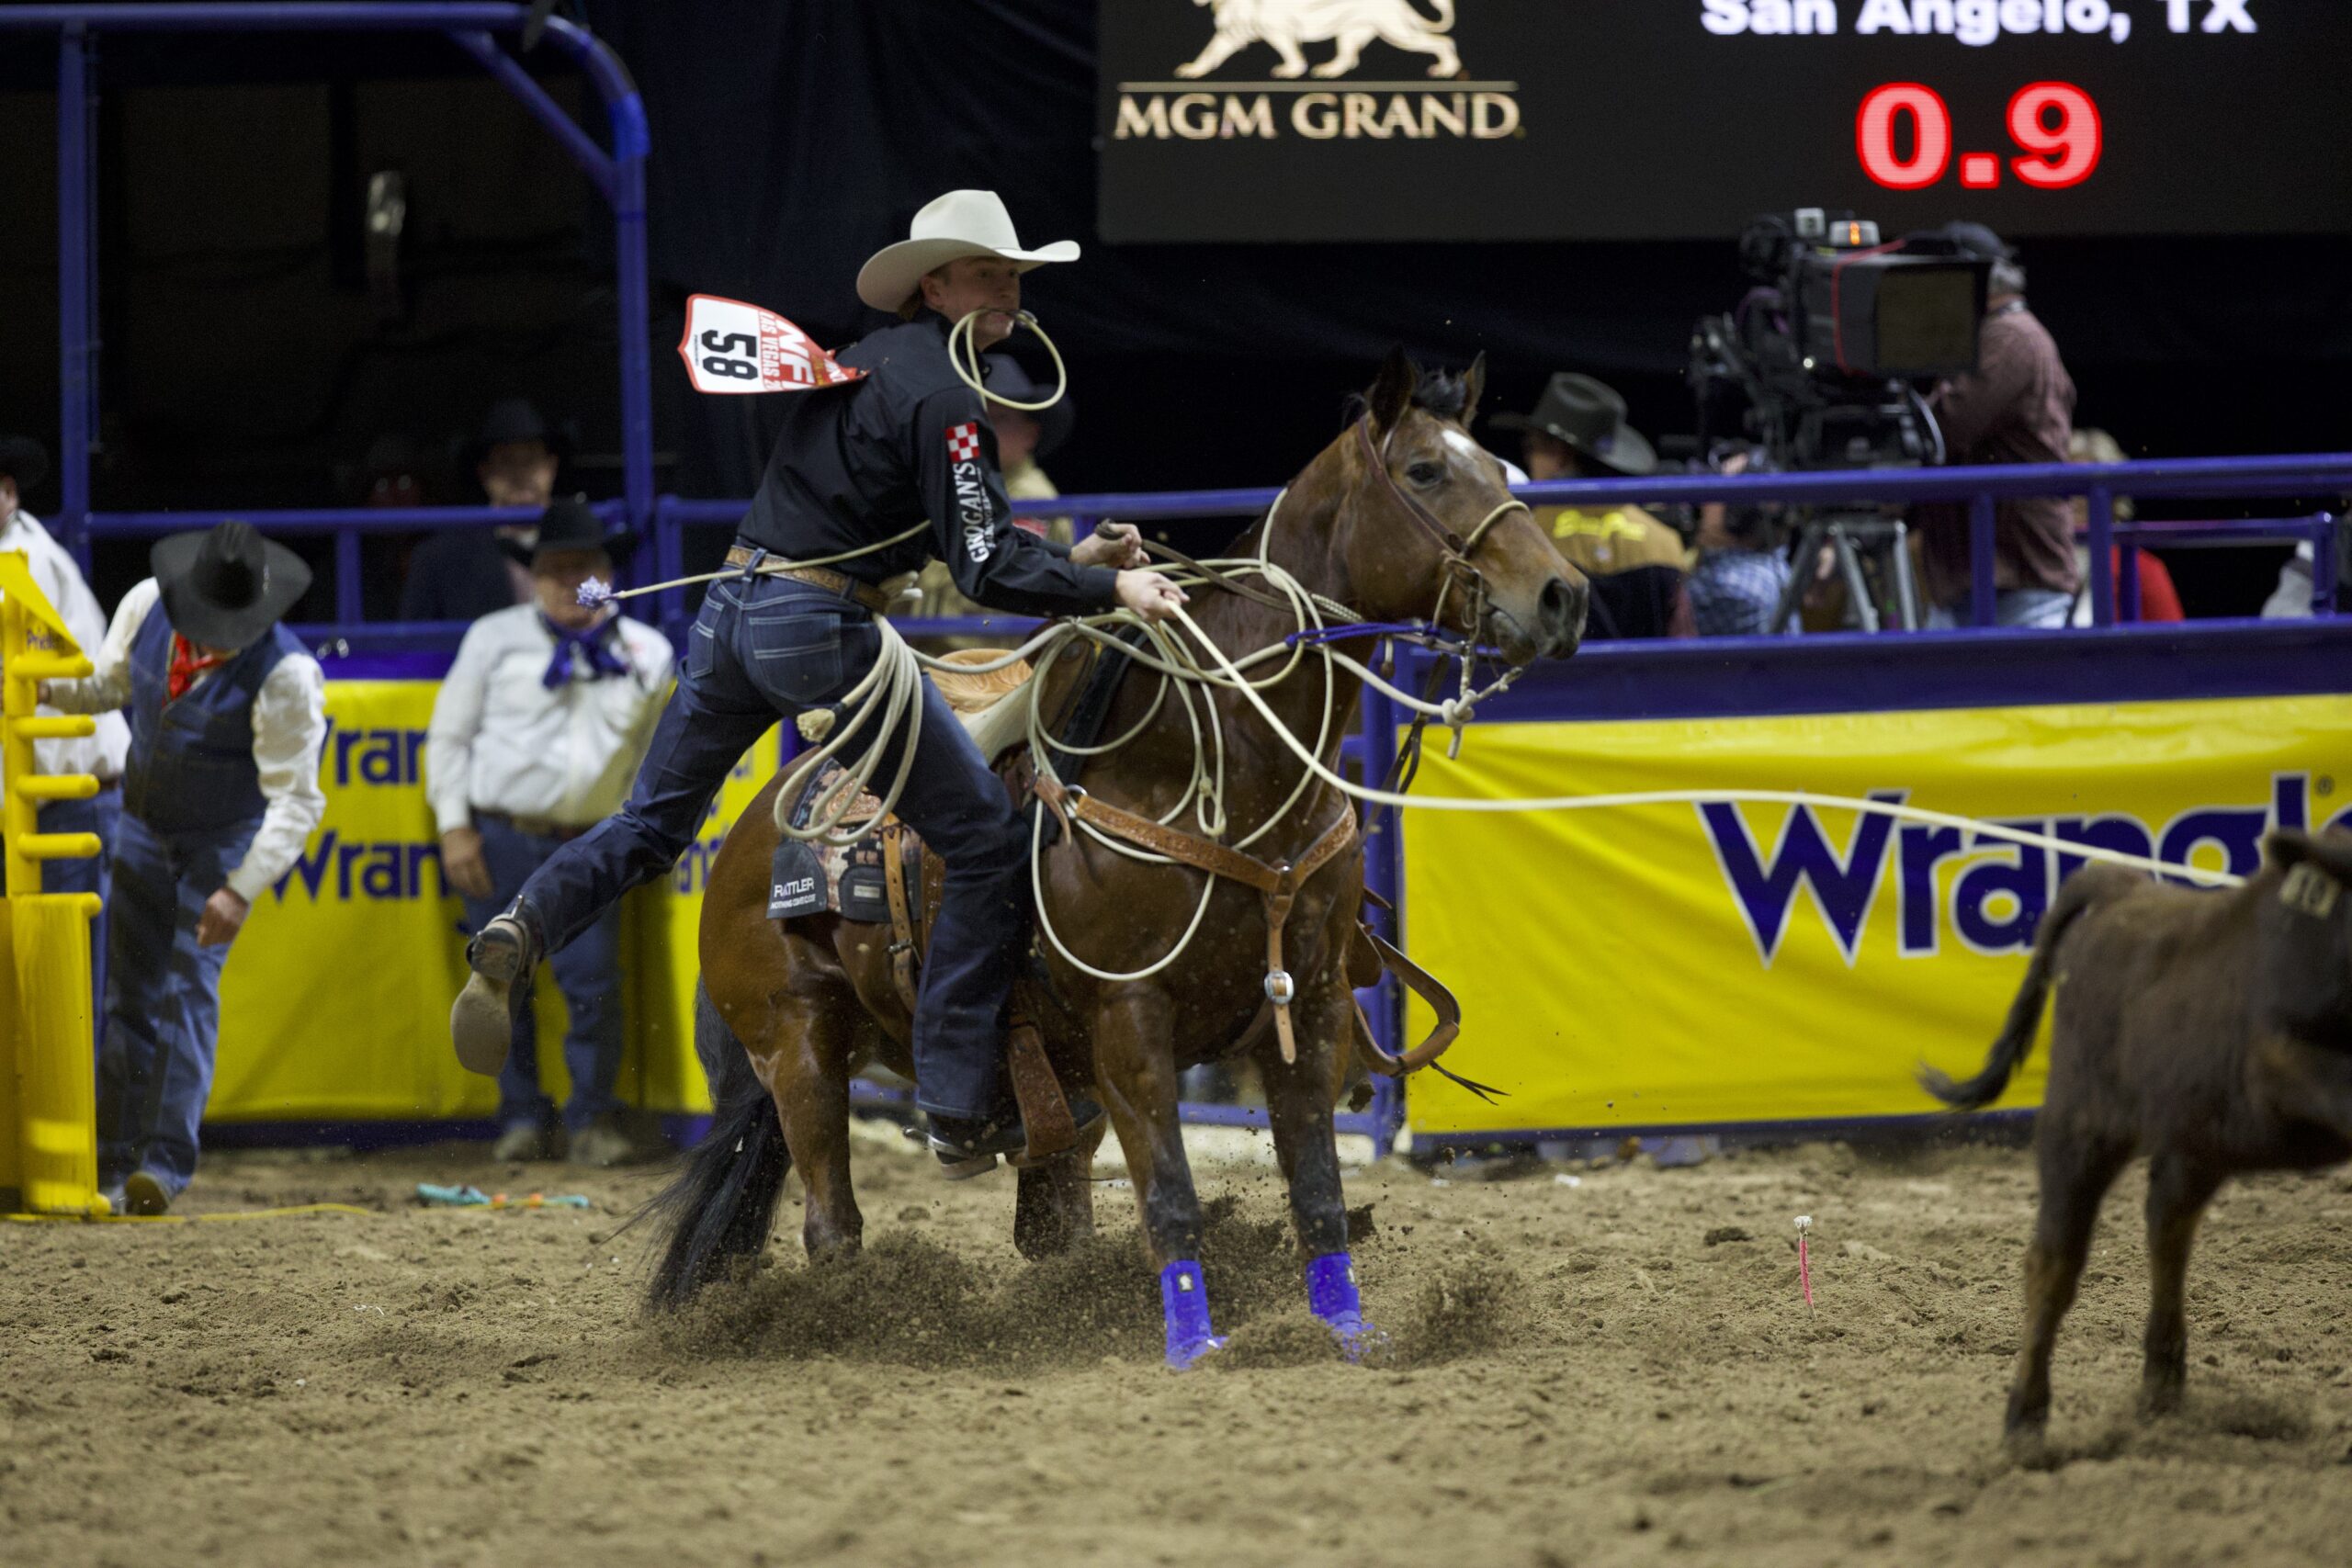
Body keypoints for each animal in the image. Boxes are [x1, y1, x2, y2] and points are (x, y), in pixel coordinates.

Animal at [649, 350, 1580, 1363]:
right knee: (832, 1224)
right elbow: (1171, 1200)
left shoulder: (1315, 1002)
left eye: (1500, 466)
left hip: (1052, 1089)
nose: (1563, 595)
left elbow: (1319, 1197)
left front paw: (1346, 1335)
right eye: (1424, 470)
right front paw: (1194, 1349)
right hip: (799, 1042)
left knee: (1048, 1224)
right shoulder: (1131, 1019)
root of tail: (754, 826)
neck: (1219, 764)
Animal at [1928, 827, 2352, 1457]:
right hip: (2081, 1129)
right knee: (2054, 1263)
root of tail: (2122, 888)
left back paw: (2162, 1386)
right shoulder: (2276, 1060)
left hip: (2199, 1134)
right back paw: (2026, 1422)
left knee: (2167, 1223)